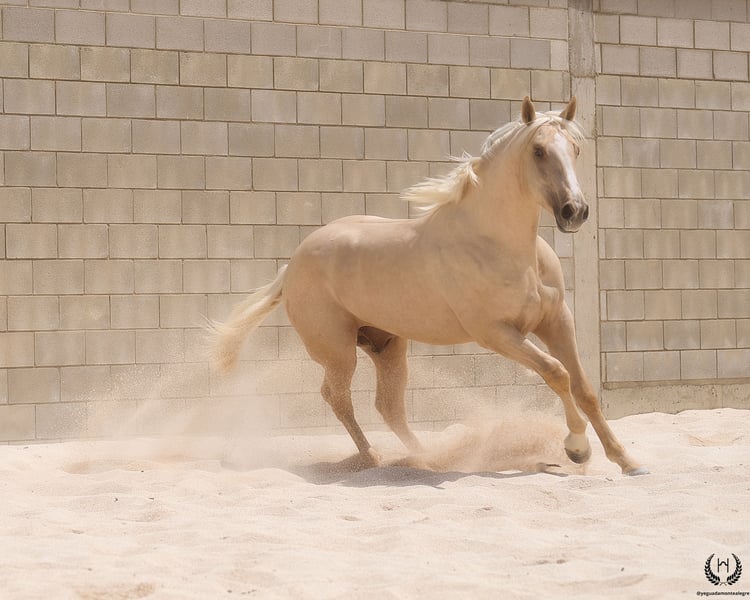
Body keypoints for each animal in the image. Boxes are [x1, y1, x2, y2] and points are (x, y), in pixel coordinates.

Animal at [211, 97, 648, 476]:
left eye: (575, 148)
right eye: (539, 151)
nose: (576, 212)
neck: (500, 246)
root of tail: (292, 266)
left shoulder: (556, 320)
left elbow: (584, 387)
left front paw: (627, 461)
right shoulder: (497, 333)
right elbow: (557, 373)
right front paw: (577, 449)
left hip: (387, 345)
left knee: (388, 406)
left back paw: (427, 458)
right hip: (338, 352)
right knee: (337, 397)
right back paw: (374, 457)